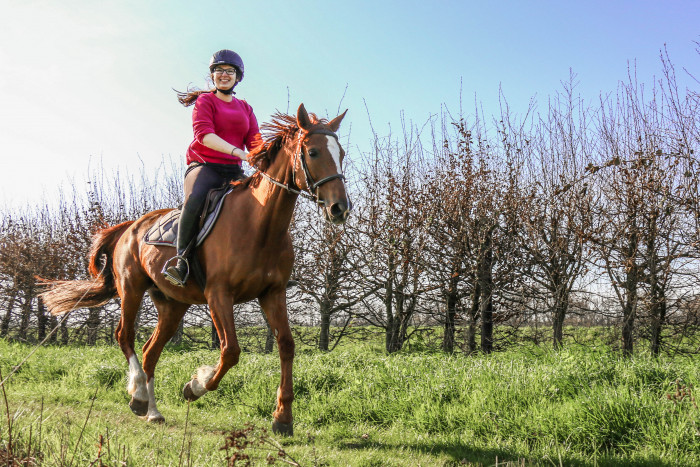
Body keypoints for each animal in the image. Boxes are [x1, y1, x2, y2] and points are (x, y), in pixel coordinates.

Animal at [39, 105, 350, 436]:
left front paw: (283, 418)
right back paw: (138, 396)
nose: (340, 208)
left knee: (150, 351)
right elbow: (231, 351)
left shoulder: (272, 293)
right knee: (125, 335)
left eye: (341, 153)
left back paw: (152, 411)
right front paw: (195, 386)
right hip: (131, 289)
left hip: (172, 305)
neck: (260, 224)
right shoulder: (219, 295)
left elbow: (287, 346)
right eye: (313, 152)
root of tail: (130, 226)